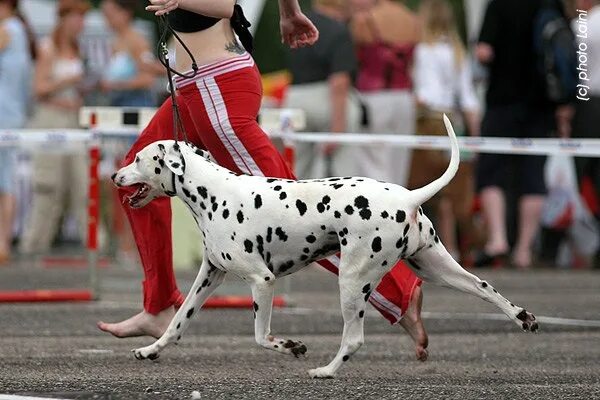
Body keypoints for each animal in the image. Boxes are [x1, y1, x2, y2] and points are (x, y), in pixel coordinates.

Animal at [112, 115, 540, 378]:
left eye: (139, 158)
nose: (115, 174)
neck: (213, 192)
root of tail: (408, 197)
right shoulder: (209, 277)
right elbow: (177, 323)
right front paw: (150, 350)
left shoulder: (262, 281)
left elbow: (261, 336)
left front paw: (291, 346)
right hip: (439, 270)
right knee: (487, 290)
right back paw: (524, 318)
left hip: (351, 281)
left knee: (354, 338)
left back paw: (326, 371)